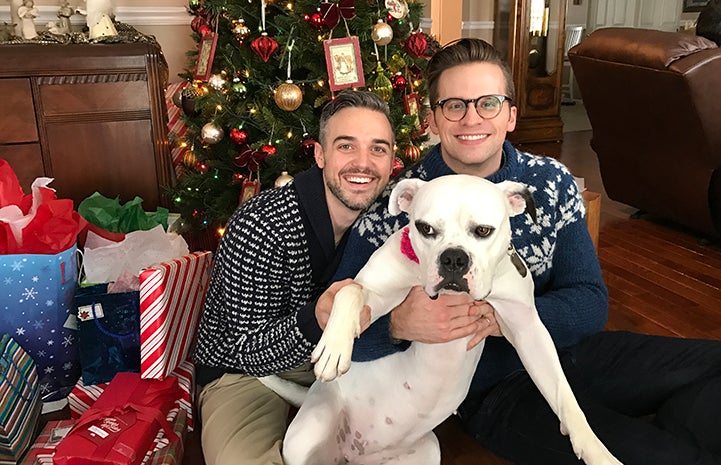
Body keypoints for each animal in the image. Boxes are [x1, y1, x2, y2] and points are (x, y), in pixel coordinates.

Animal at [262, 174, 620, 464]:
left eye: (483, 231)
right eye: (425, 228)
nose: (453, 258)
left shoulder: (528, 329)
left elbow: (563, 394)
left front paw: (596, 450)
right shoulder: (375, 295)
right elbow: (349, 291)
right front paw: (334, 348)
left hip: (427, 453)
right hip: (307, 434)